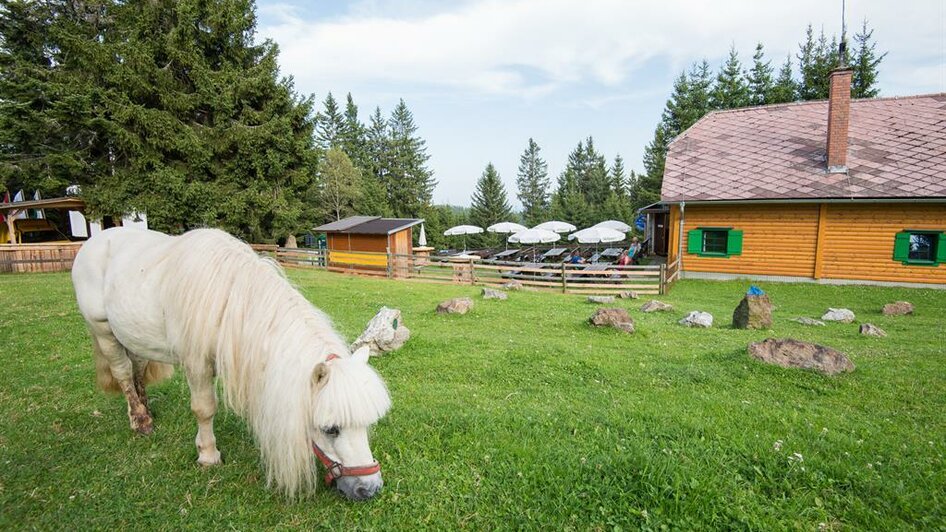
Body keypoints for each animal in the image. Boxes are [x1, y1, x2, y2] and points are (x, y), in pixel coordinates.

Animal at [72, 228, 390, 498]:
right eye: (331, 429)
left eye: (368, 423)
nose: (369, 488)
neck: (228, 298)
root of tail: (94, 242)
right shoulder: (196, 364)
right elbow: (204, 409)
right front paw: (208, 454)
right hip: (104, 332)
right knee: (123, 373)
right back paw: (139, 421)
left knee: (137, 369)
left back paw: (145, 411)